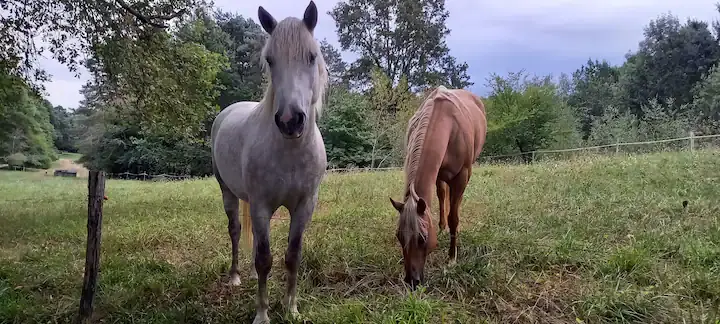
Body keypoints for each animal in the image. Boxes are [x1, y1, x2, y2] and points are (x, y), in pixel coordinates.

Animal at [211, 1, 330, 322]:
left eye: (311, 56)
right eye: (270, 60)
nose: (290, 121)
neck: (290, 151)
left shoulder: (305, 206)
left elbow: (292, 256)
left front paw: (291, 308)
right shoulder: (262, 205)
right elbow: (265, 259)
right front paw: (262, 314)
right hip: (228, 193)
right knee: (236, 231)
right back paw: (236, 276)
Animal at [390, 86, 486, 288]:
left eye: (422, 238)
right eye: (398, 236)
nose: (412, 281)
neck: (446, 123)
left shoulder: (462, 175)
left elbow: (454, 217)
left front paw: (451, 259)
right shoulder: (438, 172)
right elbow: (442, 198)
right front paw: (442, 228)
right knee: (443, 195)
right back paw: (442, 227)